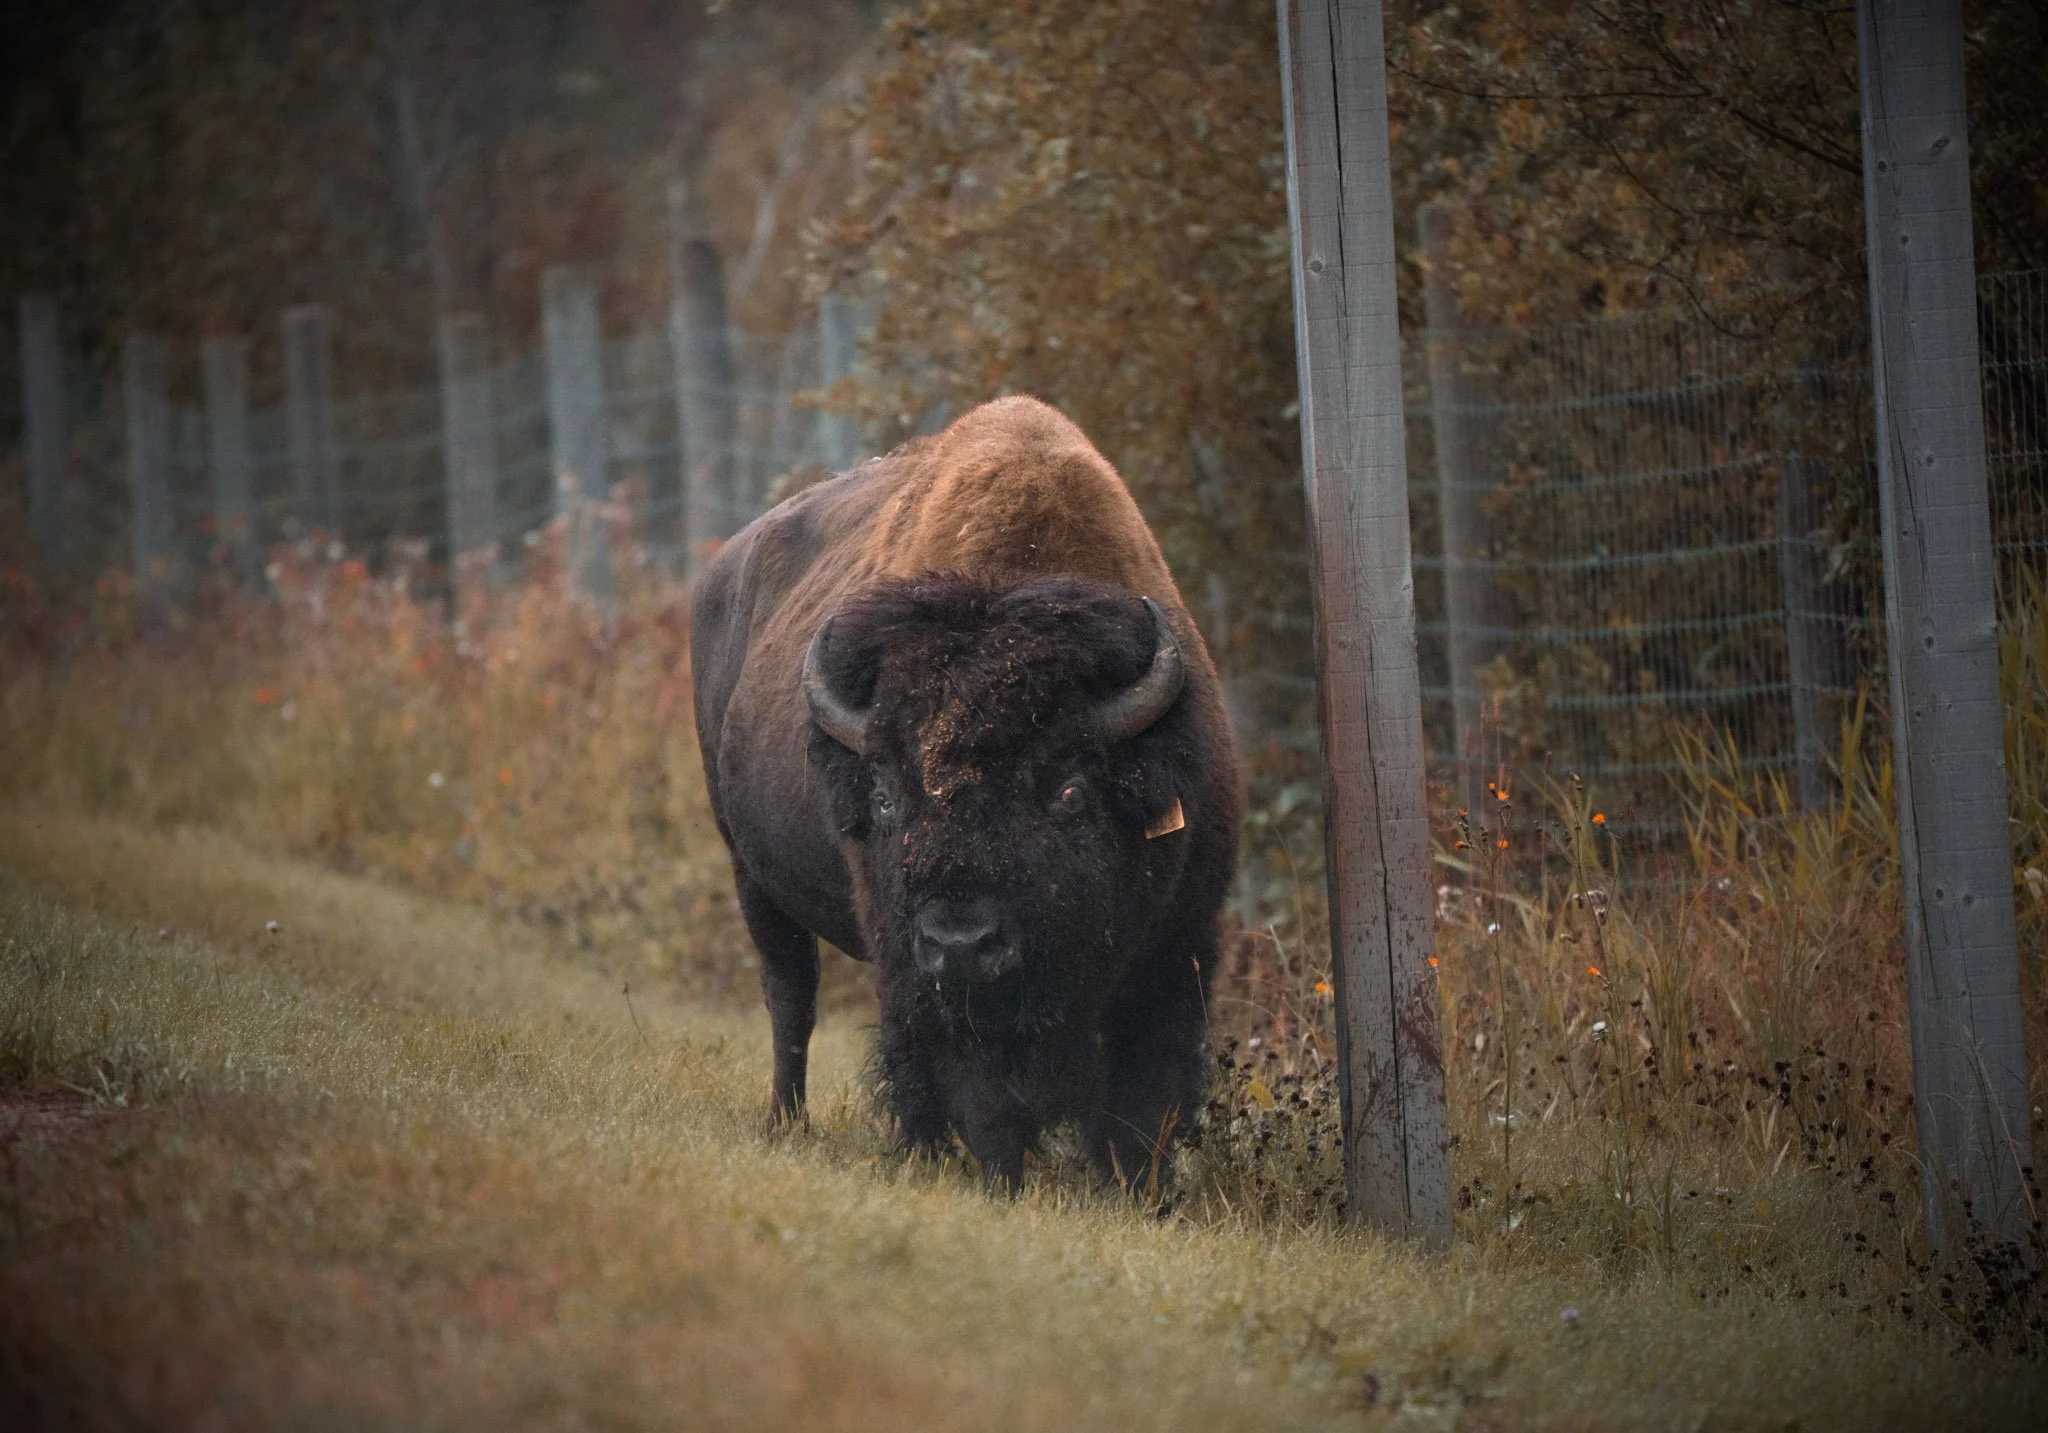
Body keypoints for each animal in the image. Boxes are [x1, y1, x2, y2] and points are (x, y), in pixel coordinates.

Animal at [690, 396, 1242, 1190]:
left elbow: (1144, 1104)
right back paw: (798, 1127)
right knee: (792, 999)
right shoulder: (920, 977)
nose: (962, 942)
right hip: (751, 876)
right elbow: (979, 1096)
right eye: (885, 797)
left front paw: (1136, 1194)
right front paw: (999, 1180)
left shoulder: (1178, 946)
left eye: (1071, 791)